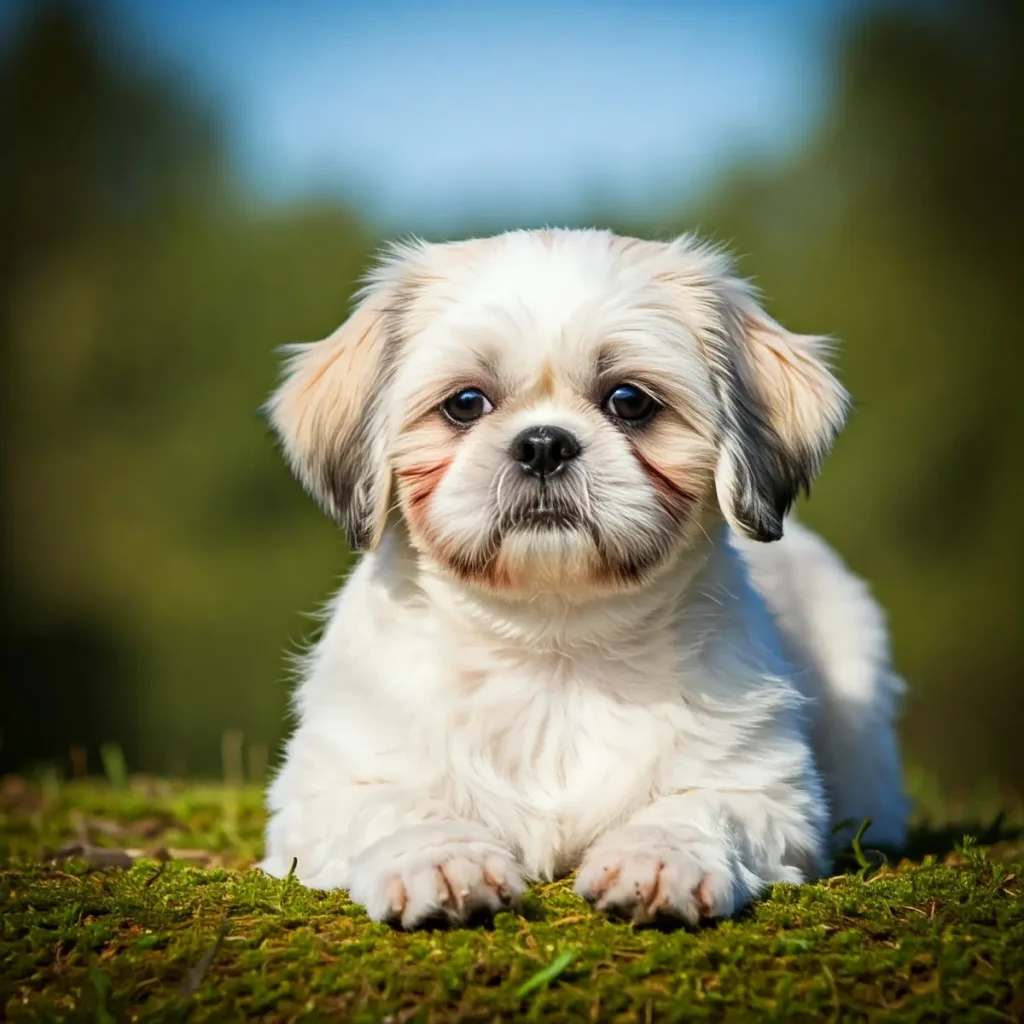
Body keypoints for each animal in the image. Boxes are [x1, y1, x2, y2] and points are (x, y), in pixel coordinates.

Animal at [260, 230, 909, 929]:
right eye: (465, 404)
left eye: (629, 401)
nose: (544, 443)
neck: (554, 648)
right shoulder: (328, 788)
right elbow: (396, 806)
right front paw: (439, 861)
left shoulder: (760, 788)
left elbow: (699, 807)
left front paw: (658, 860)